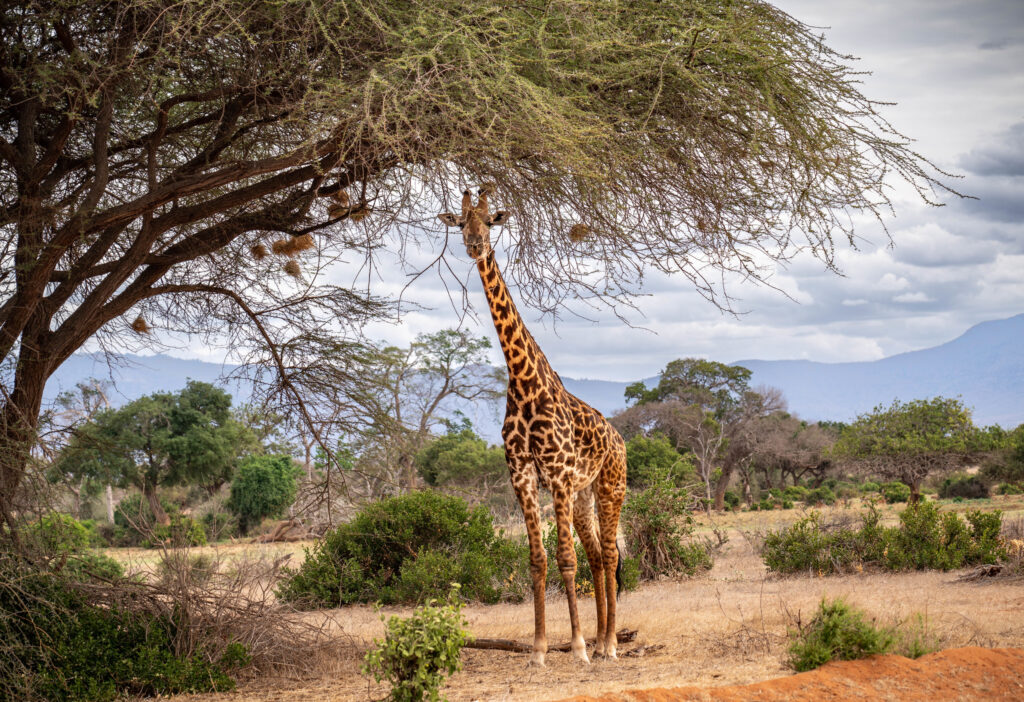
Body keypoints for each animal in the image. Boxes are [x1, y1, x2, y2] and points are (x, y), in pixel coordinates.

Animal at [436, 187, 626, 667]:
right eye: (461, 223)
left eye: (489, 222)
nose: (475, 245)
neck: (522, 383)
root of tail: (620, 439)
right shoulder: (522, 474)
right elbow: (538, 559)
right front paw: (540, 649)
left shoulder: (556, 475)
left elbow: (564, 559)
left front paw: (575, 647)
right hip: (582, 496)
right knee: (597, 555)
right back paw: (601, 640)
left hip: (610, 488)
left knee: (609, 555)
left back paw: (610, 645)